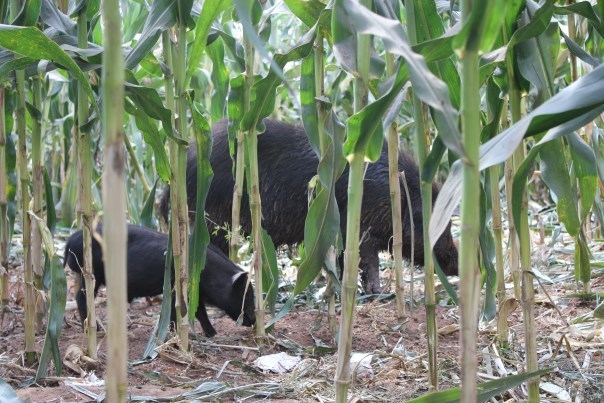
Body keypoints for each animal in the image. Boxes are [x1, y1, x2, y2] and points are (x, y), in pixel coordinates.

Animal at [63, 224, 255, 338]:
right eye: (244, 295)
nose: (253, 320)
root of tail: (71, 240)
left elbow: (199, 311)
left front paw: (212, 334)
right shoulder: (177, 287)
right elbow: (191, 311)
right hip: (90, 273)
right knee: (81, 298)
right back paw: (93, 329)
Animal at [160, 119, 458, 294]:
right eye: (437, 222)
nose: (457, 263)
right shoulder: (359, 228)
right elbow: (366, 261)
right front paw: (377, 292)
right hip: (212, 221)